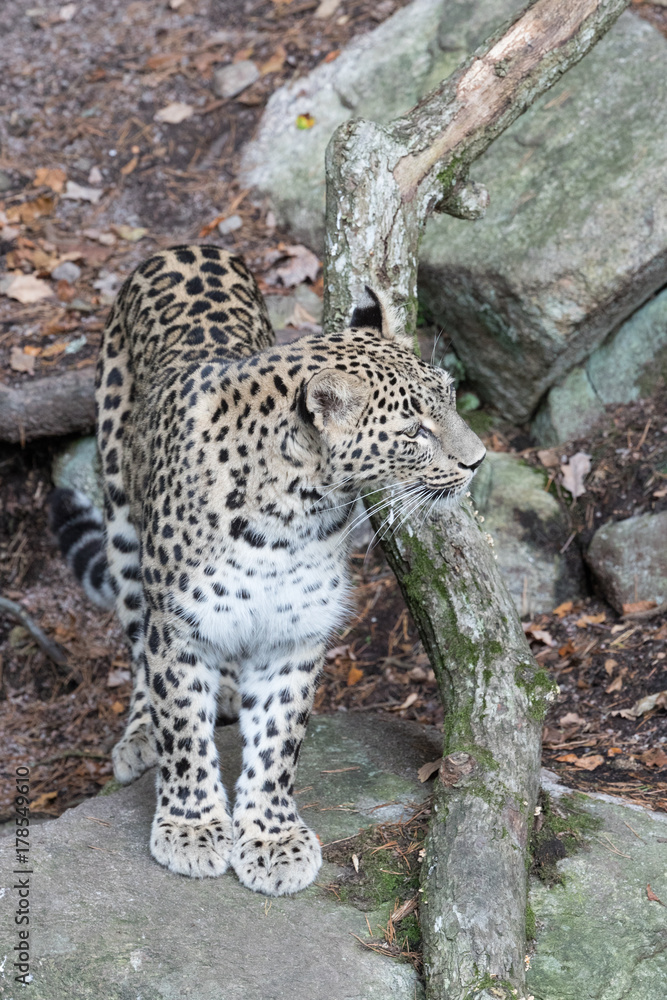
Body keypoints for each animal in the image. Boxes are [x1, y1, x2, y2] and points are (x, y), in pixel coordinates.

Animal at [50, 244, 485, 896]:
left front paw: (273, 837)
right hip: (122, 515)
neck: (297, 514)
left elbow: (279, 740)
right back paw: (139, 735)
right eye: (413, 430)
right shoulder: (179, 627)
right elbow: (183, 727)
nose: (477, 460)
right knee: (135, 639)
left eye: (451, 400)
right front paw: (190, 827)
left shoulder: (294, 631)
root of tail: (182, 247)